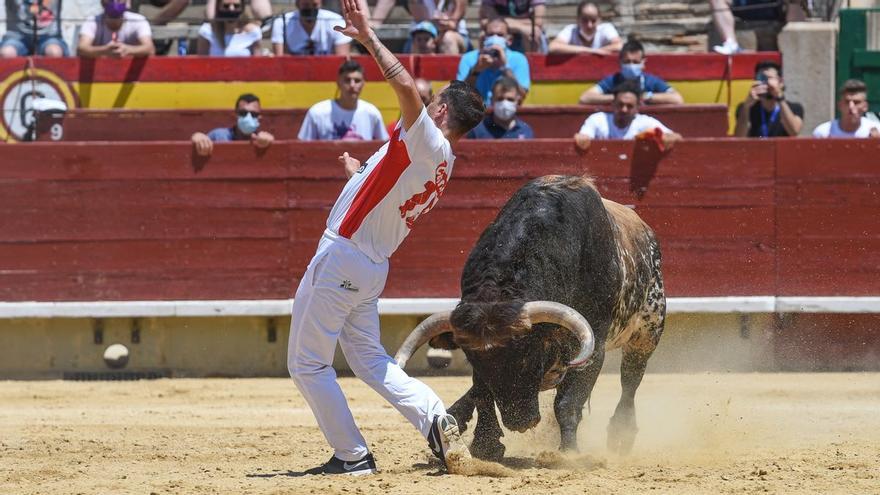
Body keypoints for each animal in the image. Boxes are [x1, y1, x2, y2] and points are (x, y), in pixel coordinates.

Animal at [396, 175, 664, 462]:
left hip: (648, 331)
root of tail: (646, 229)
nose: (520, 422)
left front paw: (569, 453)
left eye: (528, 355)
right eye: (471, 359)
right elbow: (482, 392)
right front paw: (486, 445)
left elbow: (567, 402)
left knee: (630, 380)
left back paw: (621, 435)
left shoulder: (594, 346)